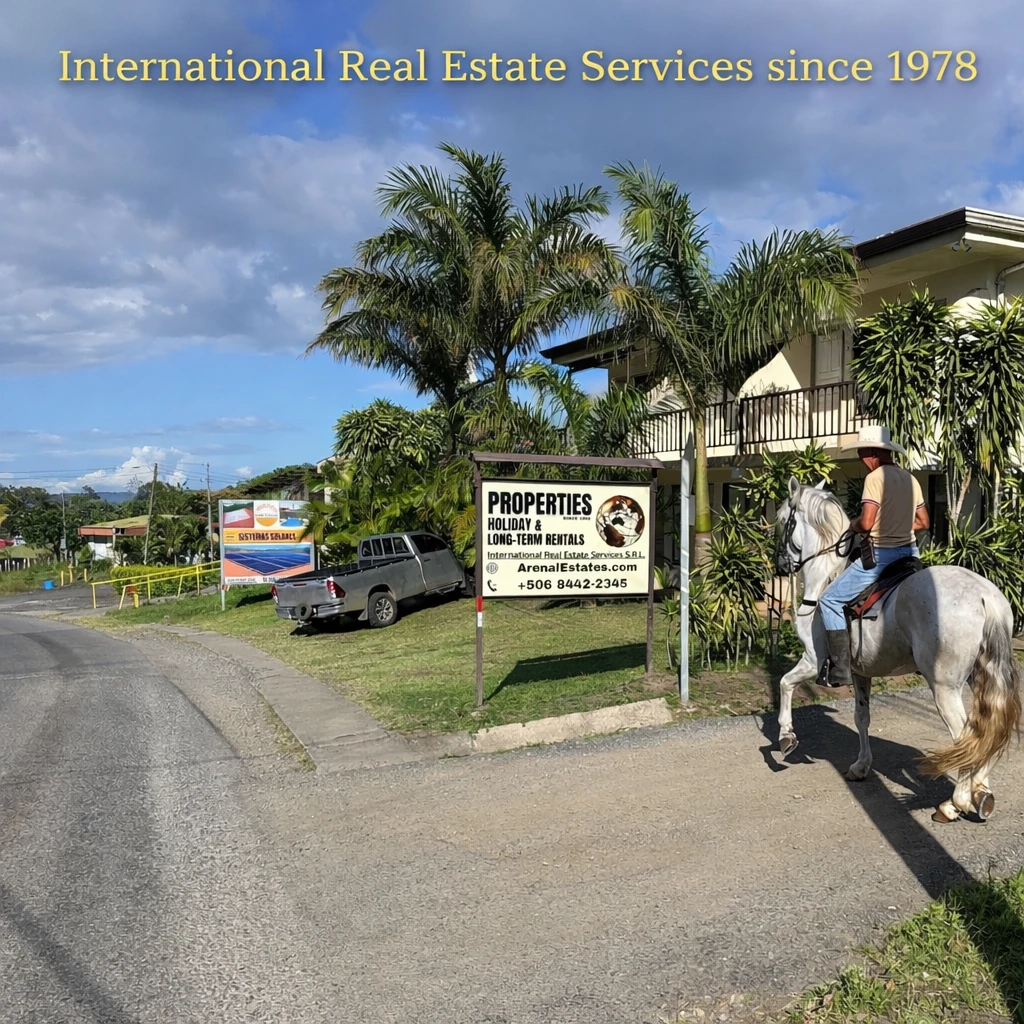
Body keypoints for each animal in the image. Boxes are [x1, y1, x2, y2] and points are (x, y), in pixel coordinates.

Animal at [774, 477, 1021, 823]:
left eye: (783, 520)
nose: (780, 565)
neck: (825, 579)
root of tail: (985, 596)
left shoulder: (813, 660)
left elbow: (785, 683)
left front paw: (786, 736)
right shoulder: (860, 673)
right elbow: (861, 717)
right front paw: (861, 766)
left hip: (944, 687)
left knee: (966, 734)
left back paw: (954, 803)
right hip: (981, 677)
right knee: (985, 730)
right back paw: (981, 791)